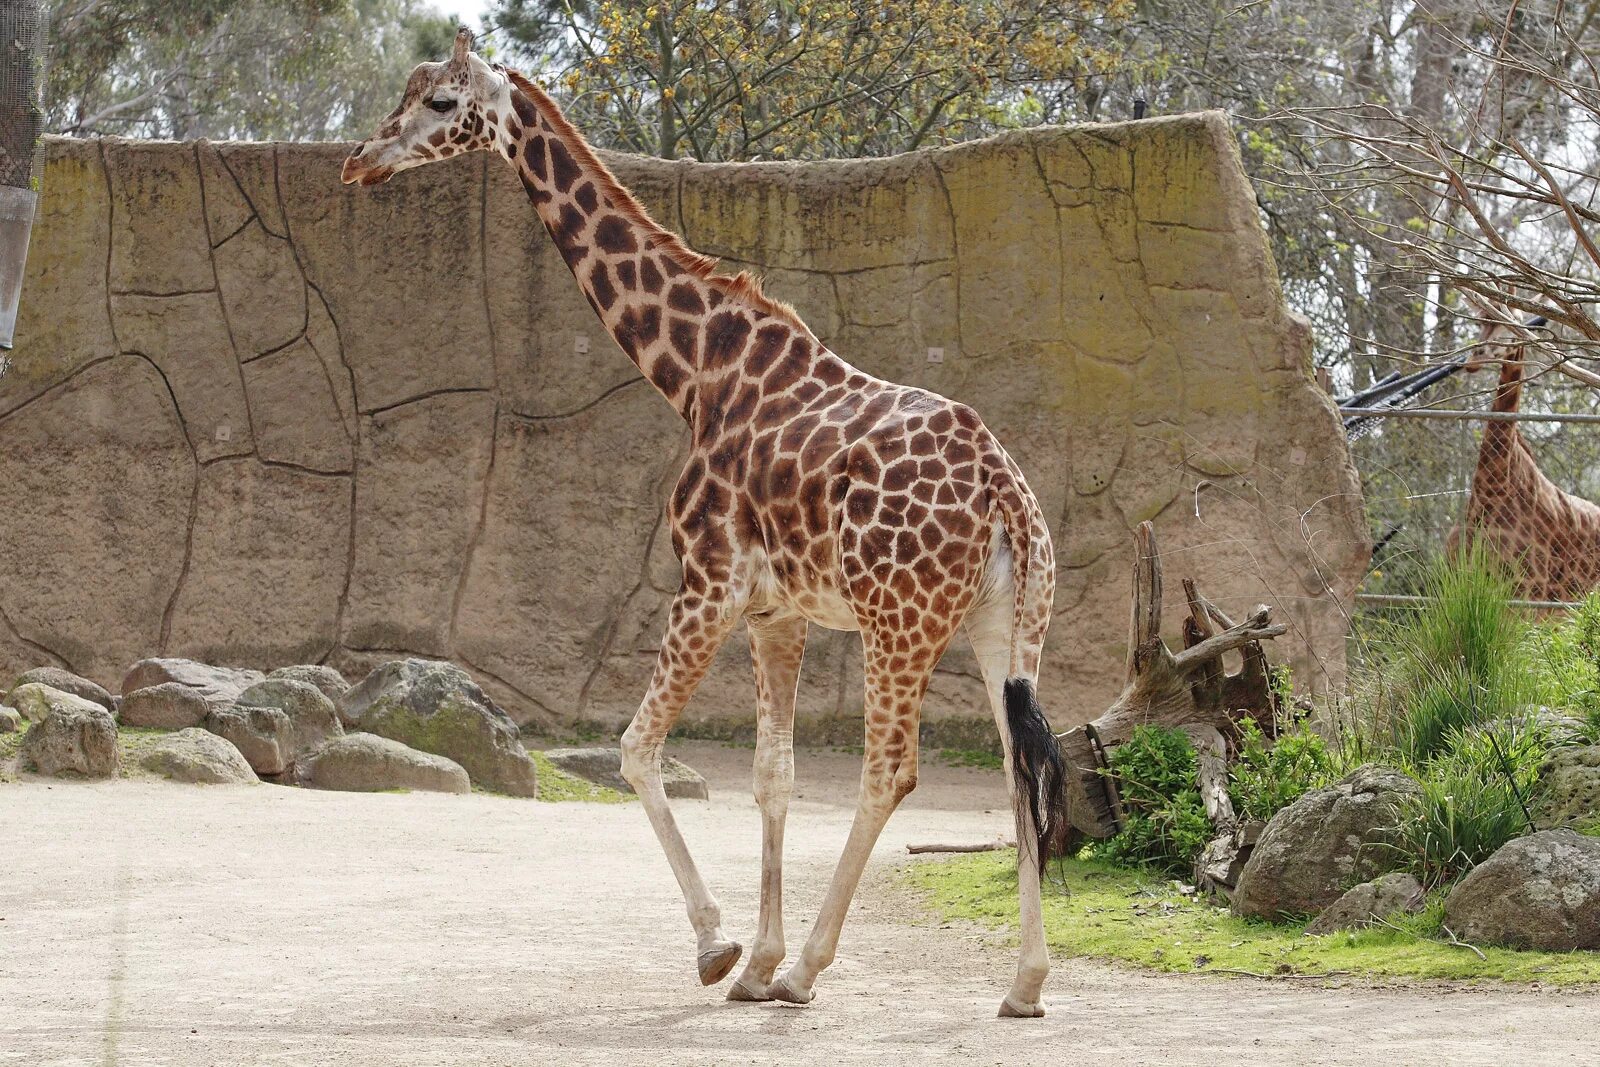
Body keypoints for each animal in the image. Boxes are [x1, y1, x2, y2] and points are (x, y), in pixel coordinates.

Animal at [347, 33, 1075, 1017]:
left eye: (441, 102)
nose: (360, 160)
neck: (695, 371)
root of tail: (1004, 490)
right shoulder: (779, 613)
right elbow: (773, 777)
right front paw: (757, 960)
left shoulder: (708, 584)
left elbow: (635, 748)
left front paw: (721, 947)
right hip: (1011, 621)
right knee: (1017, 761)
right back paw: (1024, 981)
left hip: (899, 621)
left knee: (893, 767)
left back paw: (814, 970)